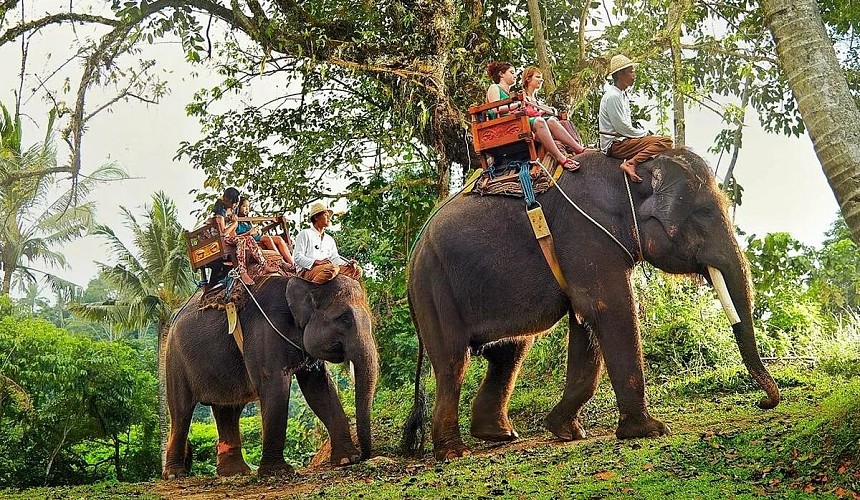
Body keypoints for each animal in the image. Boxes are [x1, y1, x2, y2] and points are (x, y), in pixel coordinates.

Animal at [161, 276, 376, 478]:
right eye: (344, 318)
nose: (364, 456)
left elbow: (319, 389)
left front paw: (347, 459)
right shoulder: (264, 334)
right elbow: (275, 387)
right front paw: (277, 471)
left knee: (228, 410)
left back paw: (235, 472)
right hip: (174, 361)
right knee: (181, 412)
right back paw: (175, 474)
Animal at [402, 149, 780, 460]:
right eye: (703, 213)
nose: (763, 402)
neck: (628, 173)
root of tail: (413, 257)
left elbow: (585, 321)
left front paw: (566, 431)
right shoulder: (585, 233)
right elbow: (608, 308)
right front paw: (650, 431)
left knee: (511, 351)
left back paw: (500, 435)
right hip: (434, 288)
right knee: (453, 362)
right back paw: (454, 452)